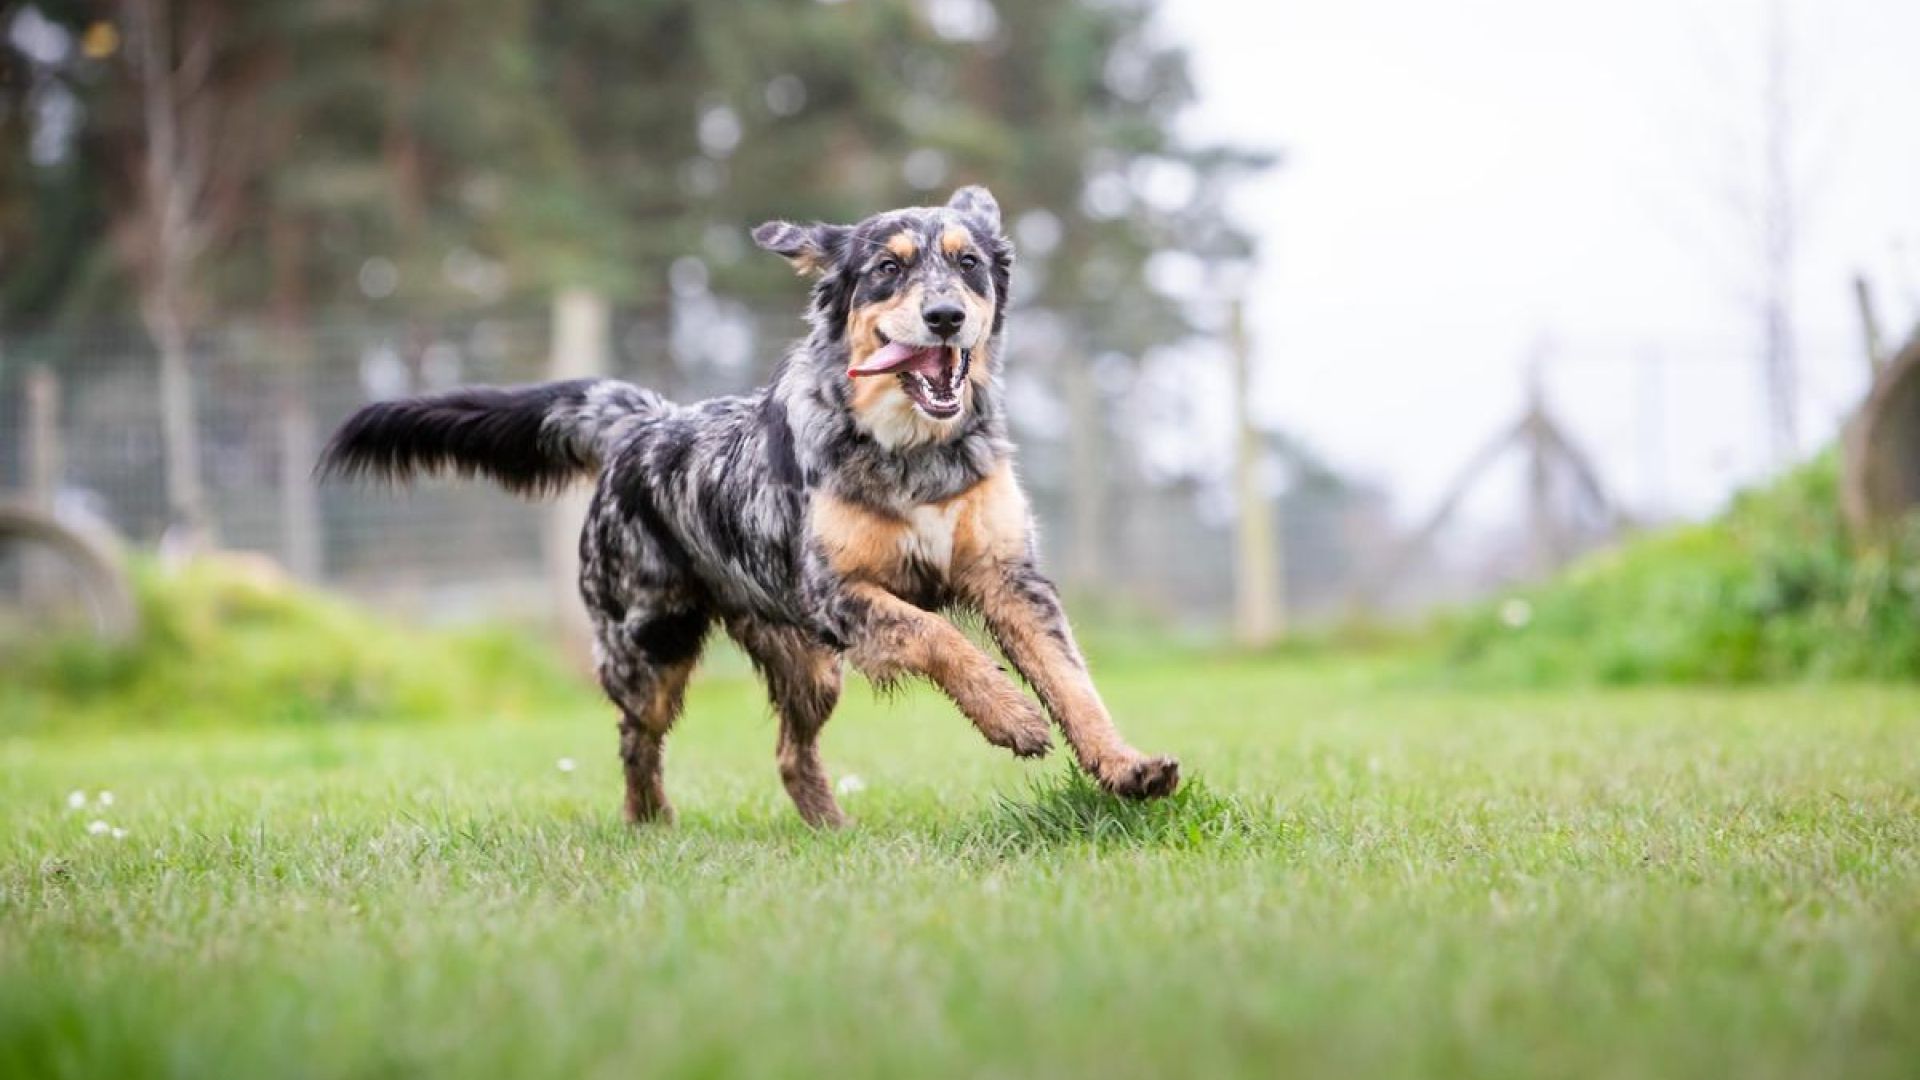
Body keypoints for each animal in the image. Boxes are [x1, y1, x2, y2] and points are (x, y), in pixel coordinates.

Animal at [322, 187, 1175, 822]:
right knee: (636, 742)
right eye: (887, 270)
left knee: (790, 756)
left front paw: (1125, 765)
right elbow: (940, 637)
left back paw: (832, 831)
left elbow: (1074, 685)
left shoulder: (1010, 577)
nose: (945, 317)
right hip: (650, 647)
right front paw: (1009, 715)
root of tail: (645, 421)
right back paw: (649, 825)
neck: (910, 452)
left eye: (969, 264)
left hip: (809, 665)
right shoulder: (839, 593)